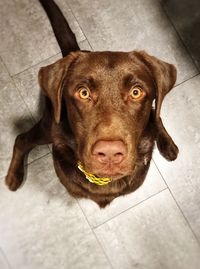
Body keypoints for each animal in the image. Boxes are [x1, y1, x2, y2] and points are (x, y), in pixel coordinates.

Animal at [5, 0, 178, 207]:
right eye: (83, 92)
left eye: (136, 92)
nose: (110, 153)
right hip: (49, 124)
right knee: (22, 139)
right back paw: (14, 176)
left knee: (156, 114)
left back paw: (168, 145)